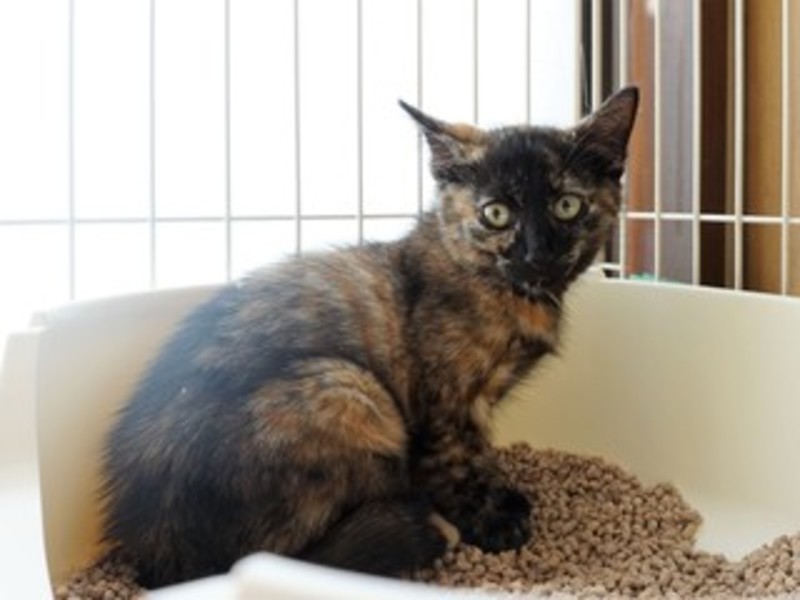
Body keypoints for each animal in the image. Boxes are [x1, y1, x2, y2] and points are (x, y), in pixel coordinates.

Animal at [101, 86, 639, 588]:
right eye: (497, 214)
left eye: (567, 206)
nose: (537, 253)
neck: (499, 286)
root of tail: (164, 560)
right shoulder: (445, 404)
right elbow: (453, 462)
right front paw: (491, 520)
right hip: (350, 389)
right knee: (296, 553)